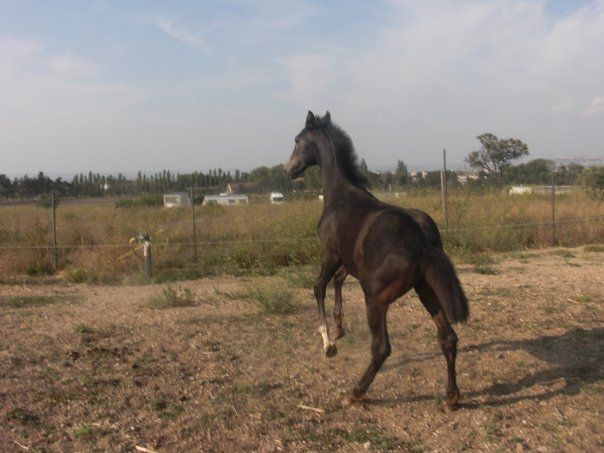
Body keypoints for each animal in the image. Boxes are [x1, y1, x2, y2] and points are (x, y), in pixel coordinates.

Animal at [284, 111, 469, 410]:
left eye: (297, 140)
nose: (288, 170)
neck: (340, 195)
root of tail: (420, 242)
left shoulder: (331, 254)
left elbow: (319, 287)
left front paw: (328, 343)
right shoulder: (349, 262)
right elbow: (336, 283)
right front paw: (338, 328)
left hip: (375, 298)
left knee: (382, 347)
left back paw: (355, 393)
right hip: (426, 290)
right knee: (448, 337)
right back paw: (451, 397)